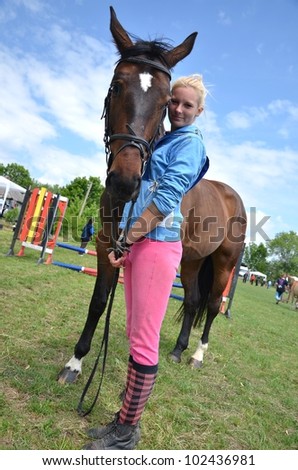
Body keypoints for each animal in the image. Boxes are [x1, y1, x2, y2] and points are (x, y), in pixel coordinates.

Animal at [57, 5, 246, 384]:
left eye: (165, 101)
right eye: (116, 86)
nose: (124, 181)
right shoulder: (106, 245)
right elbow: (99, 300)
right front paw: (75, 362)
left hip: (224, 263)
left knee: (212, 304)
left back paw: (197, 355)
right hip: (191, 261)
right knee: (193, 299)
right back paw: (177, 349)